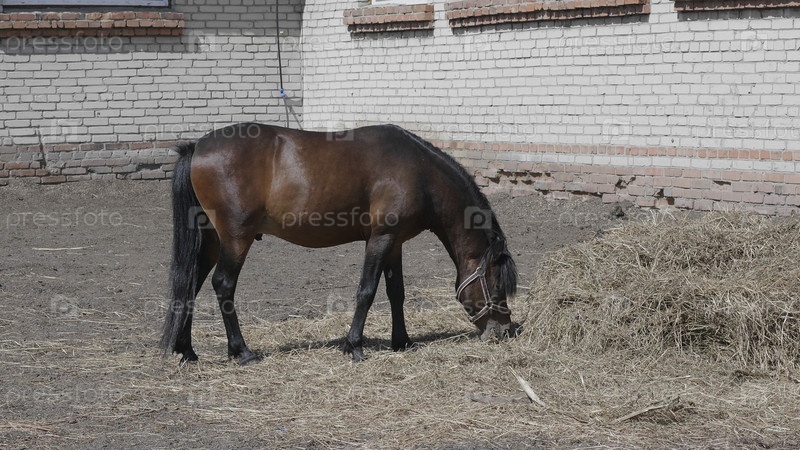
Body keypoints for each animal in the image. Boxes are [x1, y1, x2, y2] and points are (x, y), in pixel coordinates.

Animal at [160, 122, 518, 364]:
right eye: (497, 284)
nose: (504, 330)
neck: (419, 172)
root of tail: (197, 147)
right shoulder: (380, 240)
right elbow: (367, 292)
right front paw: (354, 345)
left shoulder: (395, 243)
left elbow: (396, 293)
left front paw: (401, 341)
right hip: (236, 240)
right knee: (223, 285)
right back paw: (242, 351)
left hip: (211, 241)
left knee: (190, 284)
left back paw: (186, 350)